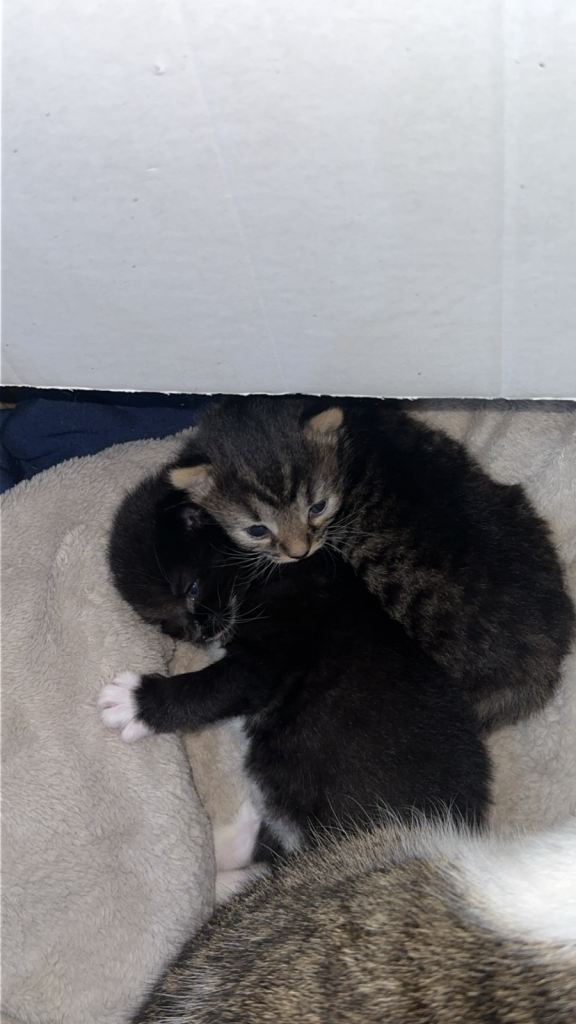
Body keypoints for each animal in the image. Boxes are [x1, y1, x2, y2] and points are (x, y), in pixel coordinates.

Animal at [104, 469, 490, 855]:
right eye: (162, 623)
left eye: (192, 590)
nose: (198, 633)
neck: (263, 570)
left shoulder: (275, 650)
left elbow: (214, 686)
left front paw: (133, 702)